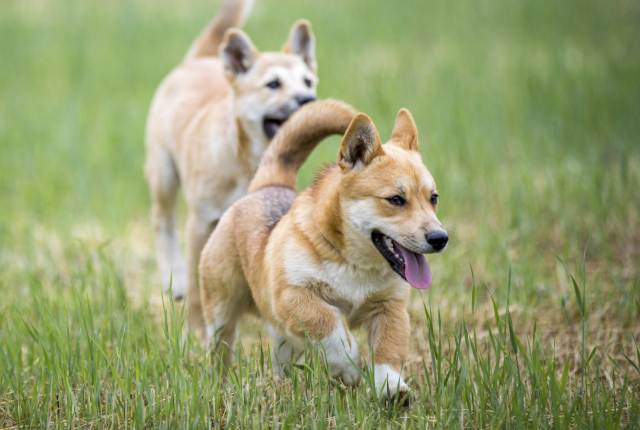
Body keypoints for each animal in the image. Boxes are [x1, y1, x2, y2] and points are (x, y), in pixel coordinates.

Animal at [142, 0, 318, 328]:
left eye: (308, 81)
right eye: (273, 84)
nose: (308, 99)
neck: (246, 162)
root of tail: (198, 61)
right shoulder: (200, 223)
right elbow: (198, 289)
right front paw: (196, 329)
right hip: (163, 174)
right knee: (162, 221)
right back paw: (175, 278)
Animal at [198, 100, 448, 400]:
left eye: (433, 198)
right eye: (396, 200)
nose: (440, 238)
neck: (354, 264)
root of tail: (269, 185)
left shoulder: (390, 308)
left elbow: (388, 350)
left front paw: (391, 388)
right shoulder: (295, 297)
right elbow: (332, 328)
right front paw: (349, 368)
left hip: (282, 337)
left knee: (281, 357)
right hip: (221, 315)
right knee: (220, 352)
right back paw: (220, 387)